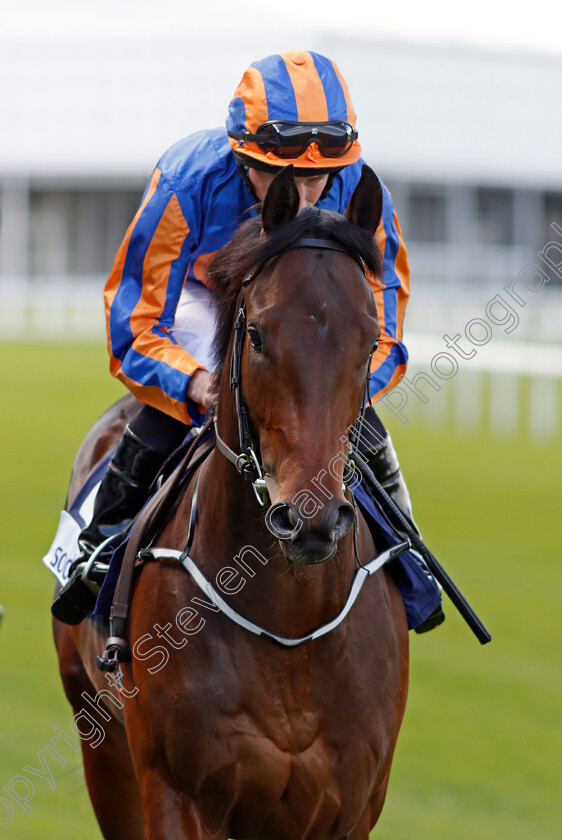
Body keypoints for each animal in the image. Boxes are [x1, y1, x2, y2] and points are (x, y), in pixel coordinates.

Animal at [53, 166, 406, 840]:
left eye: (372, 338)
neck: (289, 624)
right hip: (100, 742)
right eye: (258, 334)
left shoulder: (353, 804)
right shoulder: (178, 791)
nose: (312, 519)